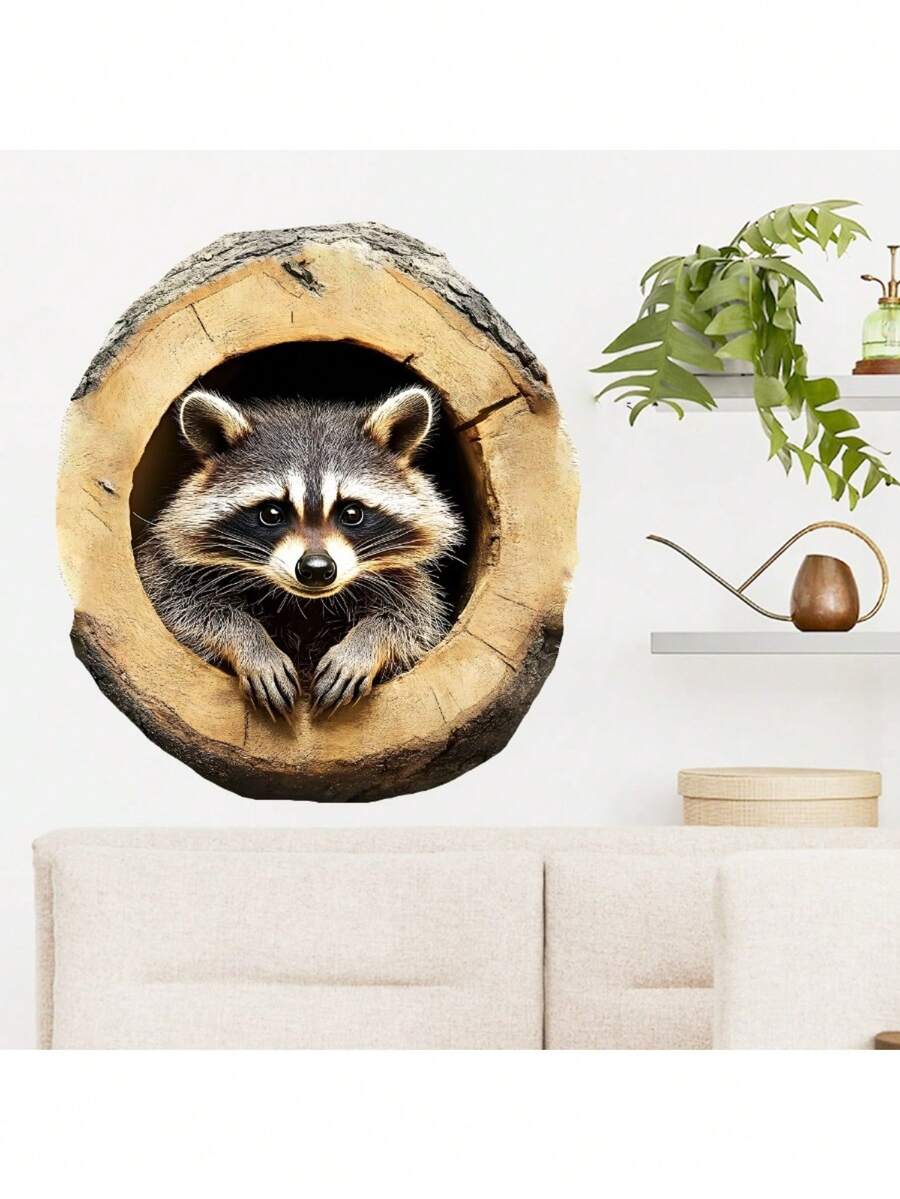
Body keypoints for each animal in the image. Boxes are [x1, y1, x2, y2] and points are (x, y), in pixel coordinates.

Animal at [135, 385, 463, 717]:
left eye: (352, 513)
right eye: (271, 513)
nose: (316, 569)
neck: (306, 603)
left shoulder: (406, 581)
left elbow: (413, 624)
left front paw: (365, 643)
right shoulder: (170, 571)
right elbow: (182, 609)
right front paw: (252, 642)